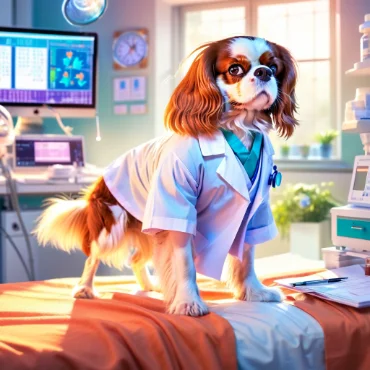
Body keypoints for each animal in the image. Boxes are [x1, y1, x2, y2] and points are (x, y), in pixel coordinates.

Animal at [35, 36, 298, 316]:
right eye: (235, 69)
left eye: (274, 67)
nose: (263, 72)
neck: (239, 128)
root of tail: (99, 178)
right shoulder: (178, 206)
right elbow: (184, 262)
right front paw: (188, 302)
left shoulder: (254, 211)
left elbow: (246, 258)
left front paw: (254, 293)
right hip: (111, 225)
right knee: (93, 256)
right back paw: (84, 289)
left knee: (136, 258)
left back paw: (151, 286)